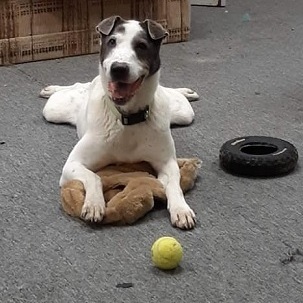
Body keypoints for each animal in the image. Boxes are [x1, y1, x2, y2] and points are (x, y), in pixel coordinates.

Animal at [41, 16, 202, 230]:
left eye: (141, 46)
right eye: (112, 42)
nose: (118, 68)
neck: (127, 117)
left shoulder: (167, 163)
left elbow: (175, 186)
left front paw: (181, 209)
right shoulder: (72, 165)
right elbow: (94, 176)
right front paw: (94, 204)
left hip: (184, 113)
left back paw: (186, 92)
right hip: (53, 109)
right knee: (75, 86)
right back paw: (52, 89)